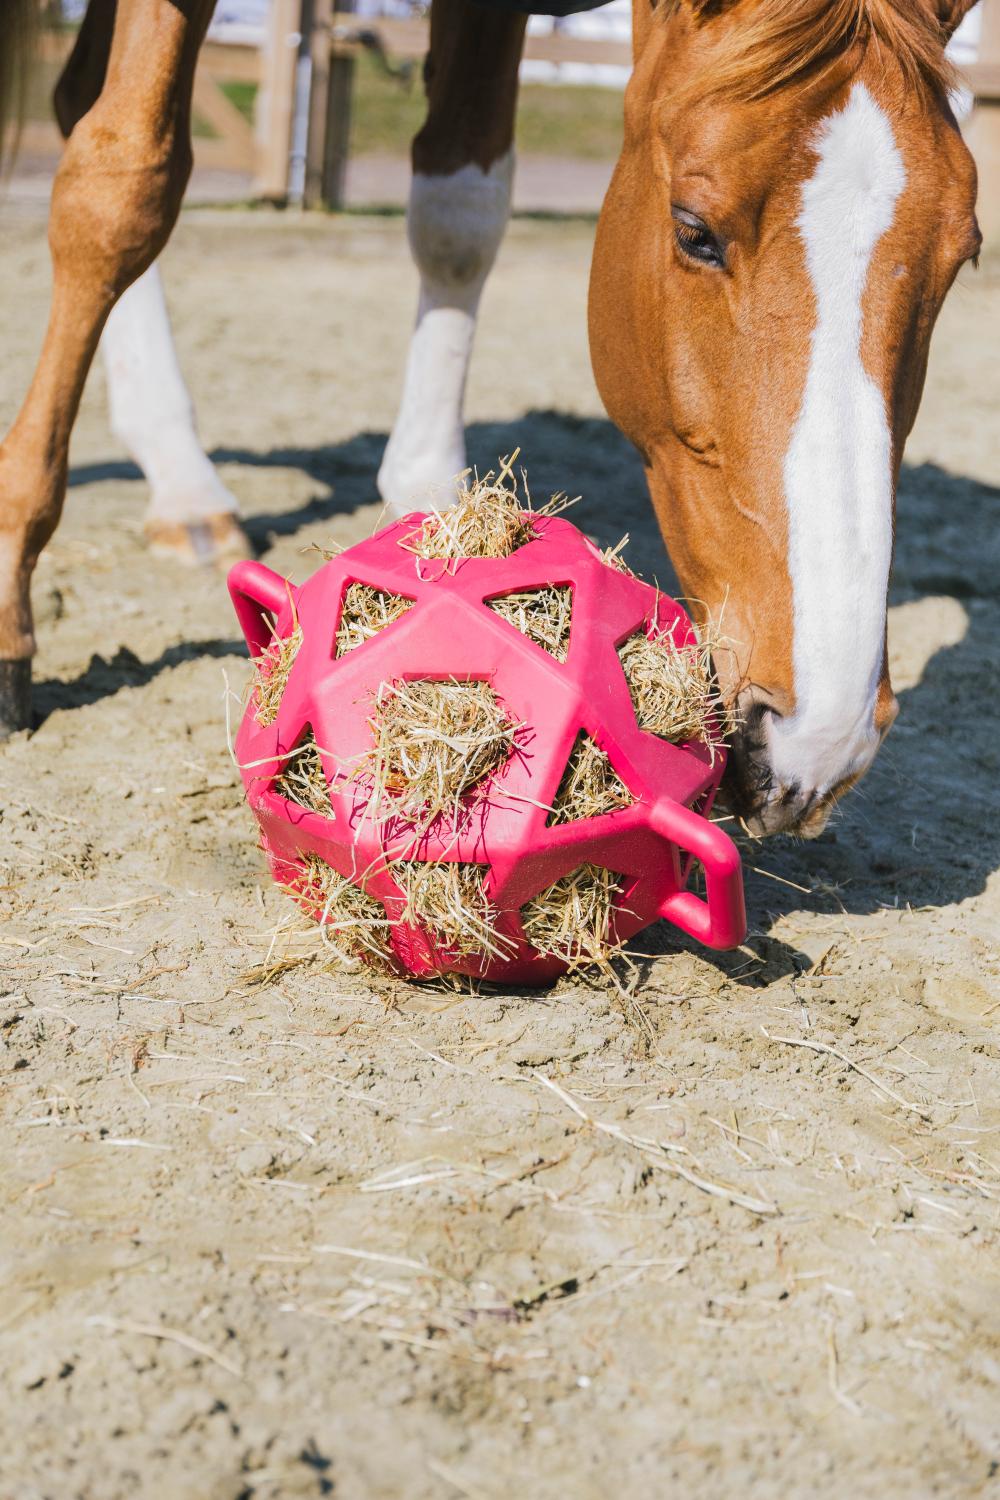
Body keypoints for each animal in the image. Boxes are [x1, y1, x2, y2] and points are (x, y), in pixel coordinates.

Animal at [0, 0, 980, 842]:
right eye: (694, 230)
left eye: (962, 257)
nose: (822, 736)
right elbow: (120, 189)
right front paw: (11, 580)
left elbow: (460, 207)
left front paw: (436, 508)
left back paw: (181, 478)